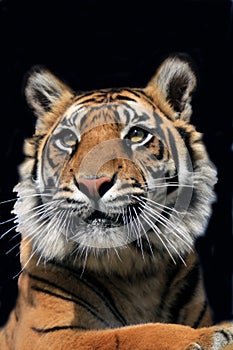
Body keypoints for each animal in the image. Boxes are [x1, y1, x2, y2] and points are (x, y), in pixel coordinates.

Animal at [0, 53, 233, 348]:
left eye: (136, 134)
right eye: (68, 139)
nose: (91, 183)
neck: (136, 272)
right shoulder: (47, 335)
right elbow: (131, 333)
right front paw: (212, 335)